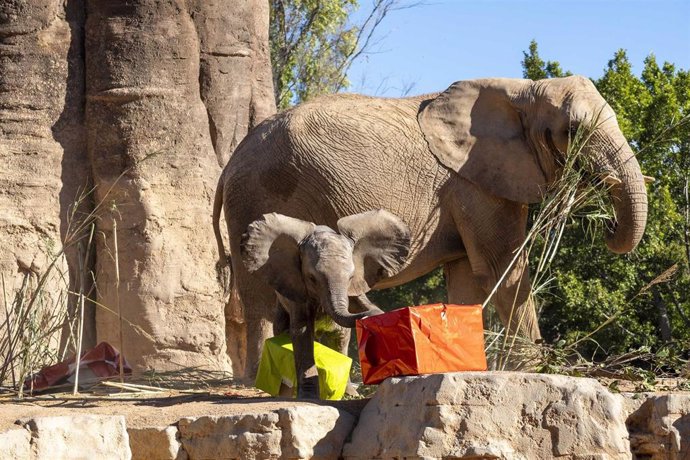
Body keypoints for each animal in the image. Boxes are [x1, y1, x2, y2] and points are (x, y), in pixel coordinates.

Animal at [214, 76, 644, 378]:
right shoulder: (474, 183)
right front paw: (532, 370)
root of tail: (230, 162)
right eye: (572, 131)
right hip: (253, 198)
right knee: (259, 298)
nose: (606, 225)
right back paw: (254, 382)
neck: (522, 90)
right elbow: (502, 270)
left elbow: (467, 279)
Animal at [241, 209, 408, 398]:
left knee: (340, 337)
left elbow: (360, 307)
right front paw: (308, 395)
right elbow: (302, 332)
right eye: (311, 278)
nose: (372, 318)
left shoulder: (354, 287)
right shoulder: (297, 287)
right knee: (285, 327)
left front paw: (379, 317)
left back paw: (350, 393)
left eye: (351, 277)